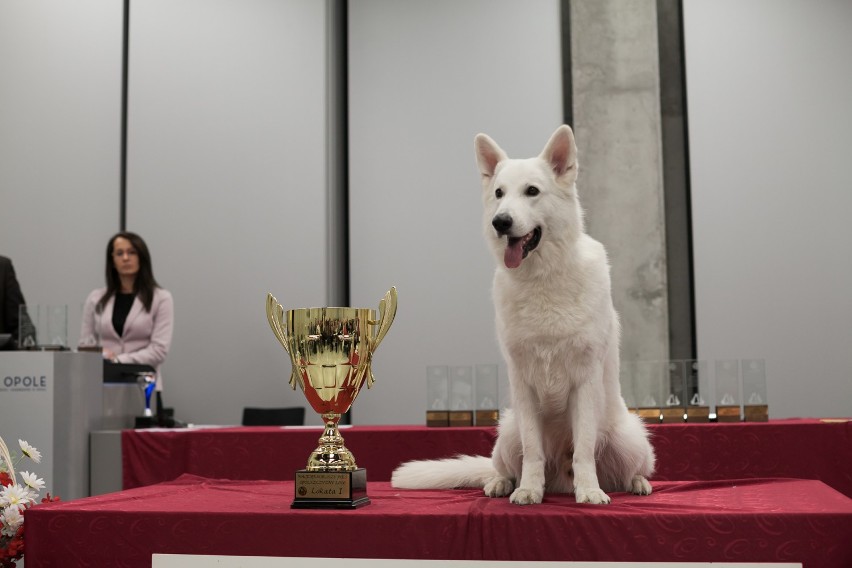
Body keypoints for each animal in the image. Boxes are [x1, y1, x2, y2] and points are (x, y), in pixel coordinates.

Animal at [394, 125, 660, 506]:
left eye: (532, 191)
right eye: (499, 193)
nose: (500, 221)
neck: (542, 280)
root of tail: (561, 481)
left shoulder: (585, 382)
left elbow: (583, 451)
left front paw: (589, 492)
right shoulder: (524, 386)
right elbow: (533, 453)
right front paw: (529, 491)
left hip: (630, 438)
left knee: (627, 469)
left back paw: (635, 483)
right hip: (508, 432)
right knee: (506, 466)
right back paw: (502, 484)